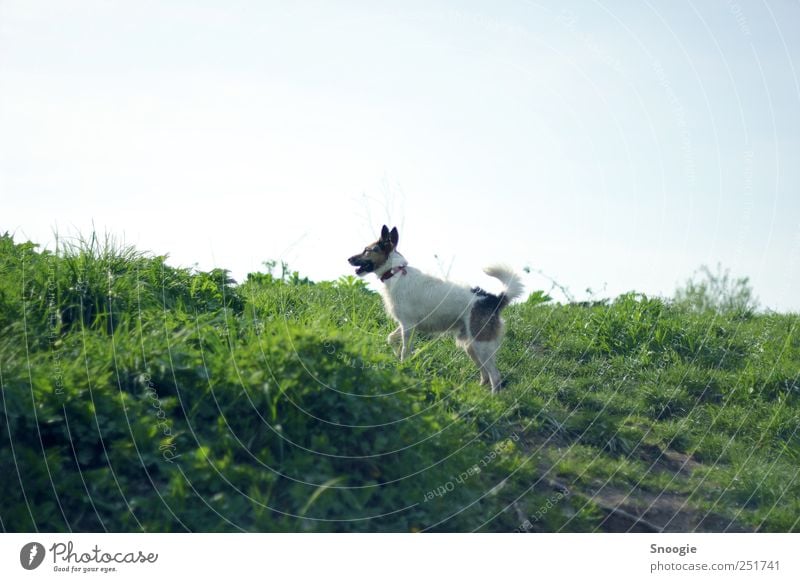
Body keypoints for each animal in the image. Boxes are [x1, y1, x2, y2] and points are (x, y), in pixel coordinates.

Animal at [346, 226, 520, 394]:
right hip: (470, 345)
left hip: (481, 345)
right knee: (485, 374)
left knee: (495, 376)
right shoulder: (407, 325)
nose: (348, 259)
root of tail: (493, 298)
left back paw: (492, 399)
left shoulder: (408, 327)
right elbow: (391, 339)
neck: (396, 272)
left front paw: (403, 366)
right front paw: (397, 355)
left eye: (367, 250)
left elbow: (404, 351)